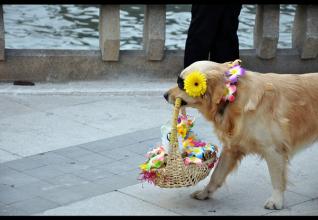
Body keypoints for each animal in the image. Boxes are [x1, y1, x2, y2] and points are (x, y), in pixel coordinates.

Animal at [164, 60, 318, 210]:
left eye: (181, 83)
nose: (165, 95)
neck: (233, 97)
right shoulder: (232, 147)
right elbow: (216, 175)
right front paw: (205, 193)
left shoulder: (274, 149)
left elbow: (276, 179)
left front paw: (276, 200)